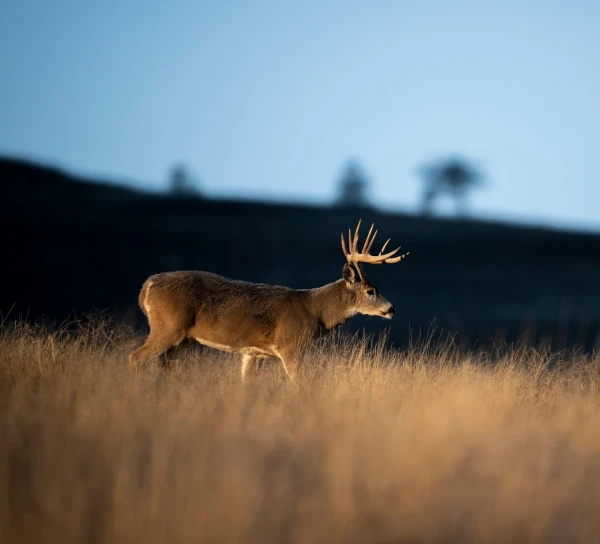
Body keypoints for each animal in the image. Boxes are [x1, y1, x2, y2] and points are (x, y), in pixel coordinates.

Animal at [129, 220, 410, 382]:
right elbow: (300, 385)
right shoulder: (290, 346)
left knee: (163, 365)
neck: (314, 311)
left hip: (180, 338)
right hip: (168, 327)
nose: (392, 308)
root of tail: (146, 287)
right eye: (371, 291)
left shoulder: (253, 353)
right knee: (135, 357)